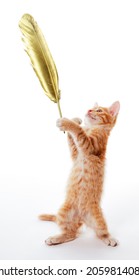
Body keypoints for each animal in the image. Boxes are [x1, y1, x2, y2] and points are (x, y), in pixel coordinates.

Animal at [39, 101, 120, 246]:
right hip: (64, 212)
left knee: (100, 232)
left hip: (98, 219)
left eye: (99, 110)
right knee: (71, 233)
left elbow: (79, 132)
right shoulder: (75, 154)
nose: (89, 110)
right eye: (92, 108)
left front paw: (68, 122)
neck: (93, 128)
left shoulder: (91, 145)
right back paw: (57, 238)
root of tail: (82, 219)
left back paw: (109, 238)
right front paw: (75, 120)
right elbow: (72, 139)